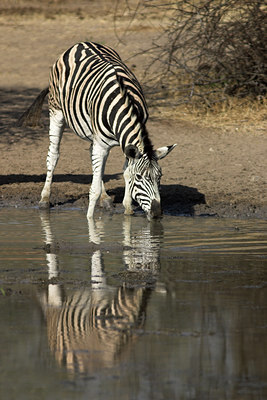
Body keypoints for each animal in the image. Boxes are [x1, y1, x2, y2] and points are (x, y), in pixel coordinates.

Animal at [19, 41, 177, 219]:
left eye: (160, 176)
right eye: (139, 177)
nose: (157, 213)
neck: (124, 99)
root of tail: (81, 43)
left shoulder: (125, 143)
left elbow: (124, 171)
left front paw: (127, 208)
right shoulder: (104, 144)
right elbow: (94, 188)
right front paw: (90, 220)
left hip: (91, 131)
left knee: (93, 159)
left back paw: (106, 198)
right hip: (56, 112)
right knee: (53, 155)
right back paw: (45, 199)